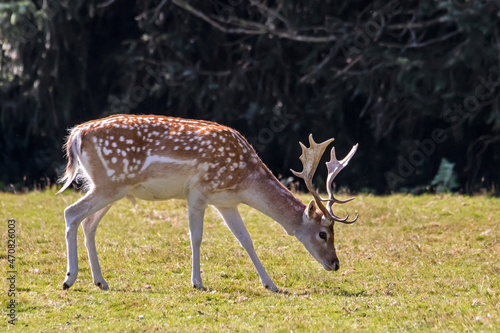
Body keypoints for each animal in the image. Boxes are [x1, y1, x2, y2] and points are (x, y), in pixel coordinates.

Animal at [57, 114, 360, 290]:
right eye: (323, 234)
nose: (335, 264)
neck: (244, 178)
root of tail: (75, 135)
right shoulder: (199, 191)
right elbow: (196, 236)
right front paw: (197, 283)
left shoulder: (226, 202)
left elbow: (246, 240)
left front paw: (270, 284)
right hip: (109, 183)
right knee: (71, 213)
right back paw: (69, 279)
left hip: (109, 187)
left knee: (88, 223)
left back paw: (100, 281)